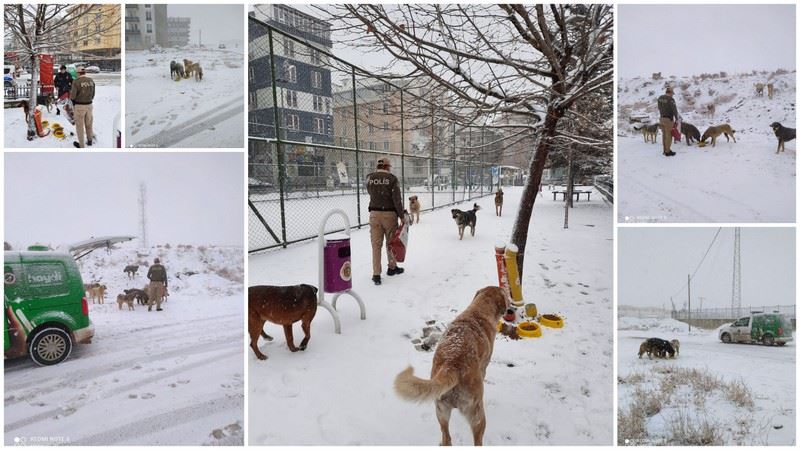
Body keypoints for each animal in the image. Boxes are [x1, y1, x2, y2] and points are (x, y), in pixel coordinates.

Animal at [394, 286, 506, 444]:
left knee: (447, 437)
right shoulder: (484, 366)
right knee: (477, 439)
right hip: (477, 415)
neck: (478, 311)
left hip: (441, 411)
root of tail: (452, 365)